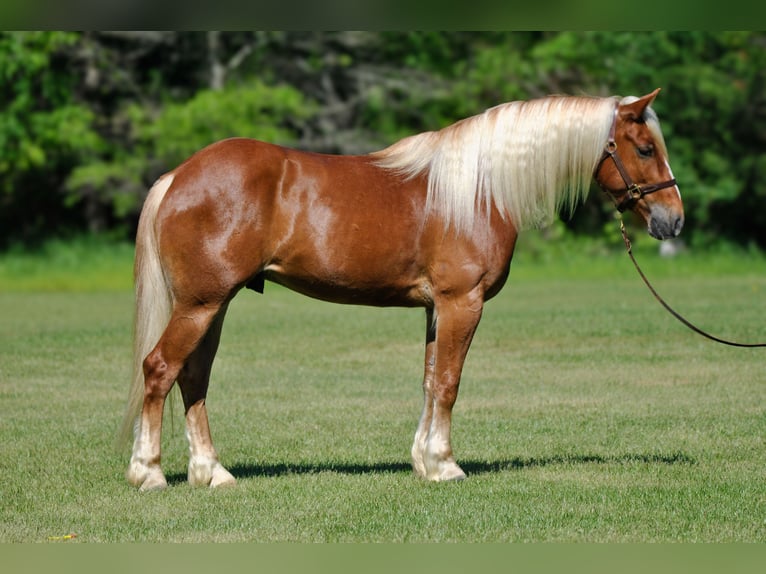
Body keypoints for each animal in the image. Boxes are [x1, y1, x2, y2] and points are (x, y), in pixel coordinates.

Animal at [118, 89, 683, 491]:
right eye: (644, 148)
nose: (673, 220)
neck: (478, 189)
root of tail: (178, 176)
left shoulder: (435, 309)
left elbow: (431, 380)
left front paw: (424, 462)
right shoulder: (462, 303)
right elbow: (450, 382)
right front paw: (446, 465)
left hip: (213, 306)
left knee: (193, 378)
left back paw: (212, 473)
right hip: (201, 304)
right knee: (160, 369)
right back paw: (149, 473)